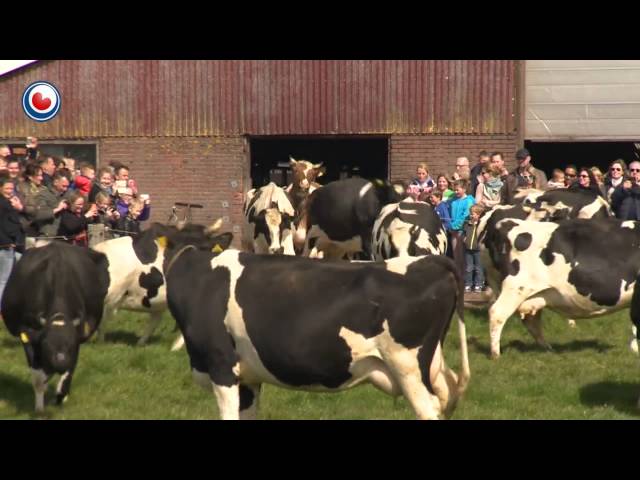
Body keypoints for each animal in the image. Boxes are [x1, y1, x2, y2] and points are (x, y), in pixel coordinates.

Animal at [0, 244, 108, 412]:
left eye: (71, 344)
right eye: (46, 344)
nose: (60, 362)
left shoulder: (77, 341)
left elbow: (69, 373)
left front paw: (61, 395)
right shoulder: (28, 335)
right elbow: (38, 378)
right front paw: (39, 407)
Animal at [162, 248, 472, 420]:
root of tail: (429, 261)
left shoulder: (222, 365)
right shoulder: (248, 378)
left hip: (406, 366)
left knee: (428, 409)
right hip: (431, 365)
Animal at [482, 219, 640, 358]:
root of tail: (504, 223)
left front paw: (634, 349)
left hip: (535, 294)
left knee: (531, 320)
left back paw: (547, 349)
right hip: (516, 288)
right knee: (497, 313)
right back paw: (496, 355)